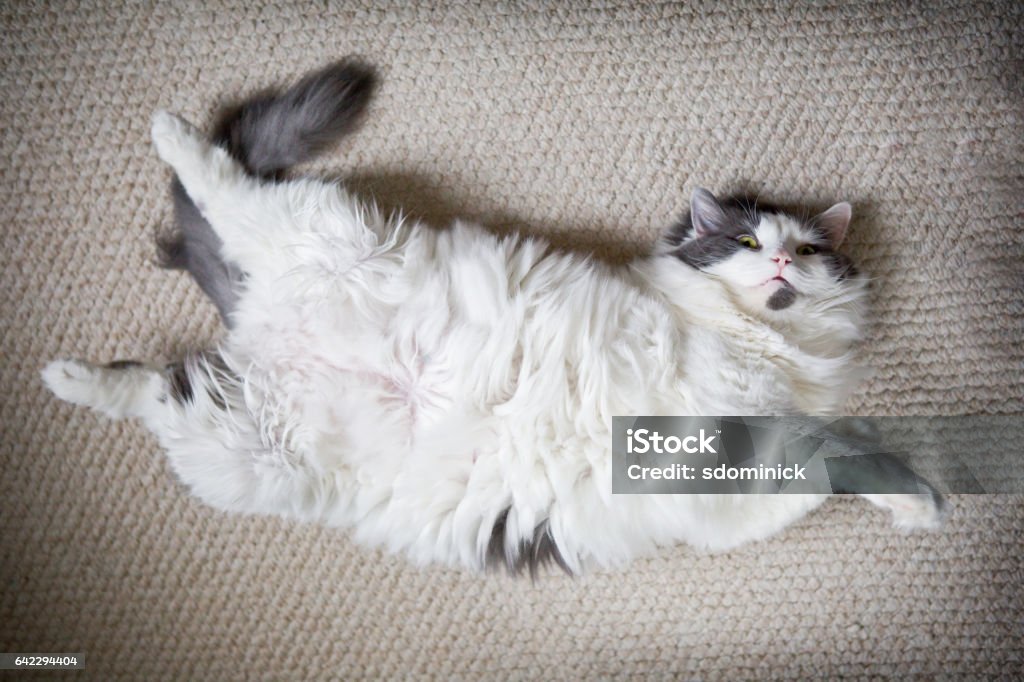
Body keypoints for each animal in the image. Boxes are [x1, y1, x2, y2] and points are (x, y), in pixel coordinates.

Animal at [46, 59, 942, 573]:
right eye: (749, 240)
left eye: (810, 250)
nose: (784, 263)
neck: (767, 350)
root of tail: (257, 317)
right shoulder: (715, 415)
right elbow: (837, 454)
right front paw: (917, 494)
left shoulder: (726, 492)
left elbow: (830, 471)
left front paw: (914, 507)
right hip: (311, 230)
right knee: (217, 177)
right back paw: (167, 133)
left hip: (239, 447)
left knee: (152, 386)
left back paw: (67, 378)